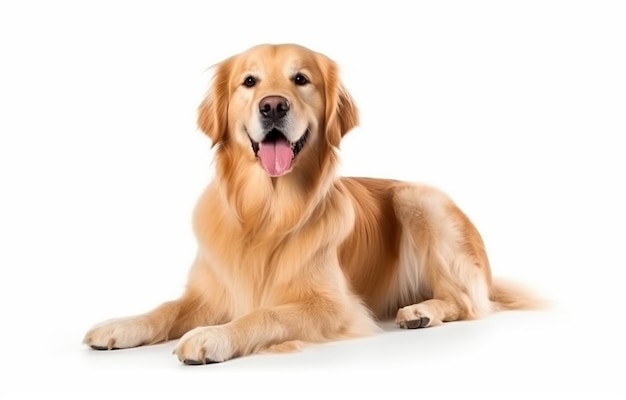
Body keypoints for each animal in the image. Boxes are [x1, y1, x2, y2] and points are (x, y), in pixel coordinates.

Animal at [81, 43, 532, 362]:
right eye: (249, 81)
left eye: (301, 79)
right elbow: (165, 309)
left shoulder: (335, 307)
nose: (273, 105)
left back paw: (420, 311)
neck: (265, 212)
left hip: (418, 198)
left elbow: (266, 313)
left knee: (467, 301)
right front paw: (120, 326)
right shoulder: (208, 292)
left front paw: (214, 335)